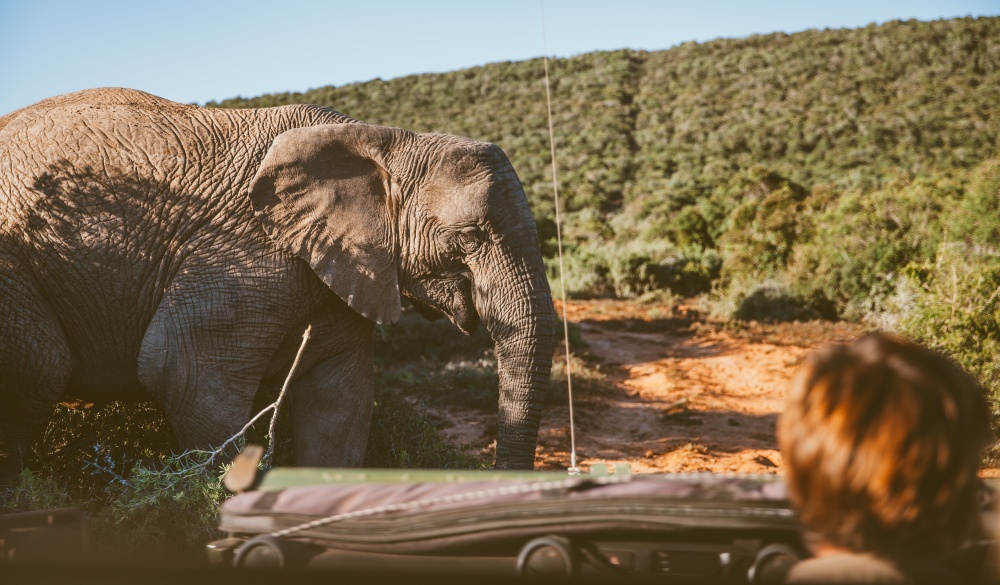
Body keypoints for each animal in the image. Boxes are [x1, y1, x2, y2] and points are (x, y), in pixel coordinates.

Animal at [0, 88, 556, 480]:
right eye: (469, 236)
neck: (382, 141)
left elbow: (339, 403)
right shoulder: (242, 252)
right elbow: (183, 369)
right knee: (42, 369)